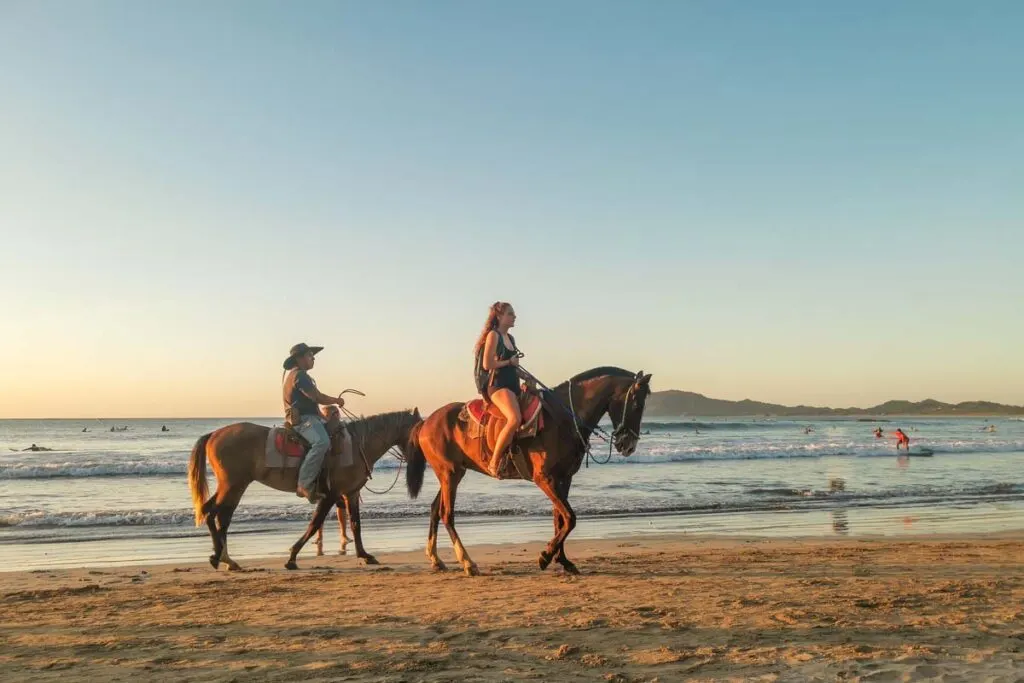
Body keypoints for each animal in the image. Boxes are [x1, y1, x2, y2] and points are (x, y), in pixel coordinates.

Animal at [188, 409, 419, 569]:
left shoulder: (351, 493)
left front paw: (364, 555)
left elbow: (355, 524)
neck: (357, 445)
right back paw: (220, 557)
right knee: (217, 516)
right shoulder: (331, 494)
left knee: (215, 515)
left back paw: (225, 559)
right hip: (234, 485)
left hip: (232, 486)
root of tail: (214, 434)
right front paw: (292, 557)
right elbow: (315, 524)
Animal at [403, 366, 651, 573]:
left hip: (451, 474)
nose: (628, 445)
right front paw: (546, 556)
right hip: (450, 474)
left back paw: (436, 559)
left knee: (435, 509)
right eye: (636, 405)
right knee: (447, 514)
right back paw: (467, 562)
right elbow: (570, 518)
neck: (563, 419)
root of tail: (425, 423)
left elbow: (560, 518)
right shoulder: (545, 479)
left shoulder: (564, 478)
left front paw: (562, 560)